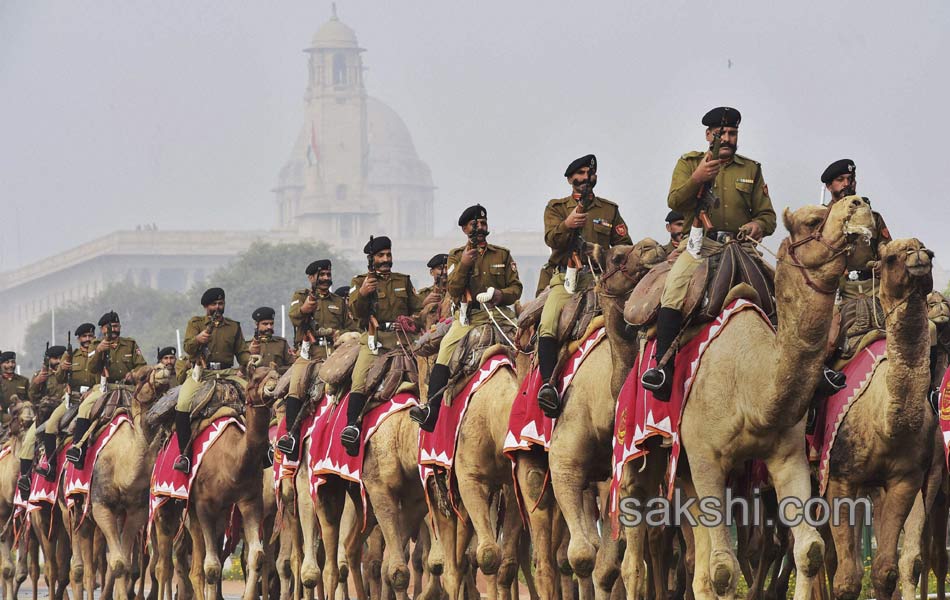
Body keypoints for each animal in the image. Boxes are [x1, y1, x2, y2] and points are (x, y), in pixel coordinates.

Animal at [824, 238, 936, 600]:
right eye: (889, 258)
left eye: (925, 248)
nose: (920, 256)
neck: (885, 424)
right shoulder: (839, 478)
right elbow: (846, 579)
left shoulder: (904, 480)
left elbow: (885, 571)